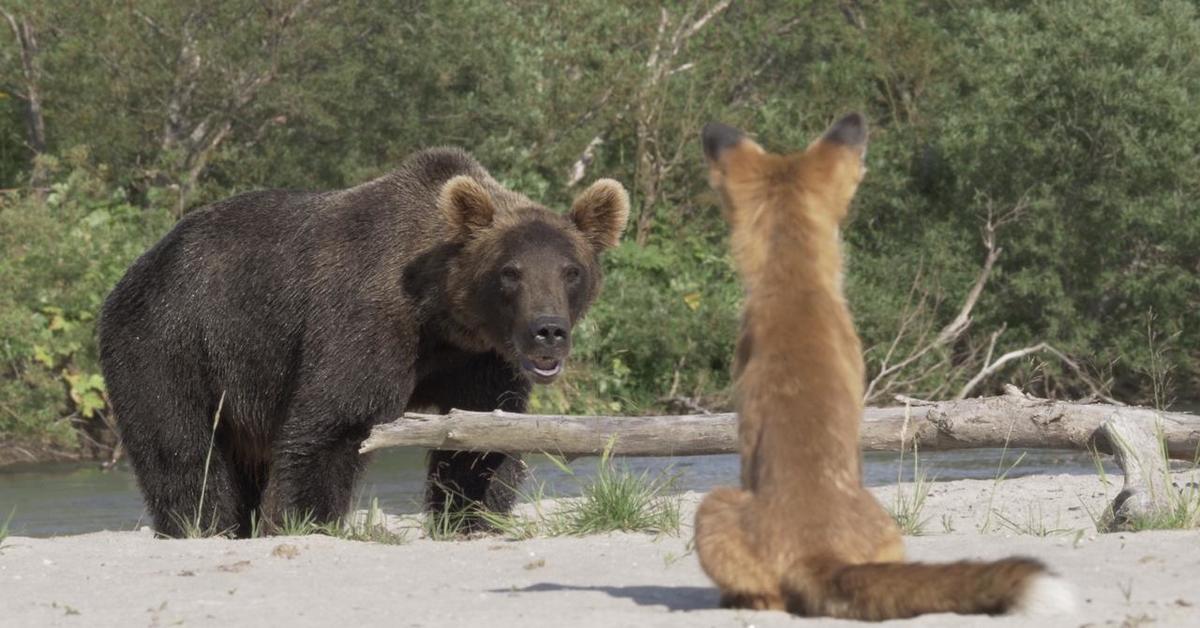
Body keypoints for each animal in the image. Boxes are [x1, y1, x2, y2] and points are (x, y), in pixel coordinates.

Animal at [100, 147, 628, 535]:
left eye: (571, 271)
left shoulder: (479, 360)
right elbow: (333, 425)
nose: (548, 330)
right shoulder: (364, 319)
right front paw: (305, 520)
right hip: (172, 342)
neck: (440, 317)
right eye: (510, 272)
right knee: (184, 449)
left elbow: (478, 440)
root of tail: (139, 266)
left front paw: (471, 517)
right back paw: (201, 525)